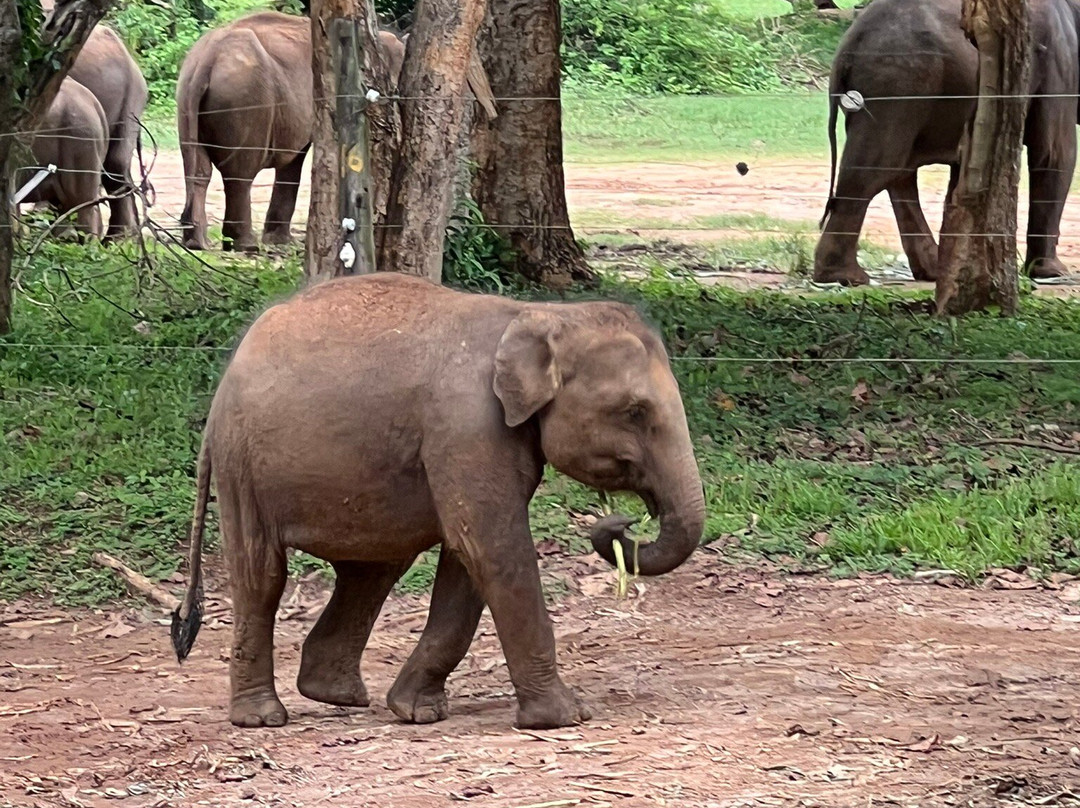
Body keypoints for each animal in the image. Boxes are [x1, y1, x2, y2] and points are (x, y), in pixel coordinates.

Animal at [171, 273, 706, 730]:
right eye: (634, 411)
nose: (619, 522)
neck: (538, 315)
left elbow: (466, 558)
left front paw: (417, 712)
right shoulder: (467, 424)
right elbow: (492, 546)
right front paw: (566, 717)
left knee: (374, 569)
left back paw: (337, 695)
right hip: (242, 464)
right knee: (262, 573)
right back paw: (262, 718)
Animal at [176, 12, 406, 252]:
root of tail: (207, 59)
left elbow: (294, 159)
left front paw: (279, 241)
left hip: (188, 99)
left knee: (199, 169)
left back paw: (197, 243)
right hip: (246, 102)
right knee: (241, 173)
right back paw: (246, 246)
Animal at [815, 0, 1079, 285]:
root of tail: (845, 48)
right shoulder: (1059, 62)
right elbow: (1055, 153)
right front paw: (1053, 273)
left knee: (896, 172)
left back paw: (930, 272)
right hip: (897, 85)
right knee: (876, 170)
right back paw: (845, 276)